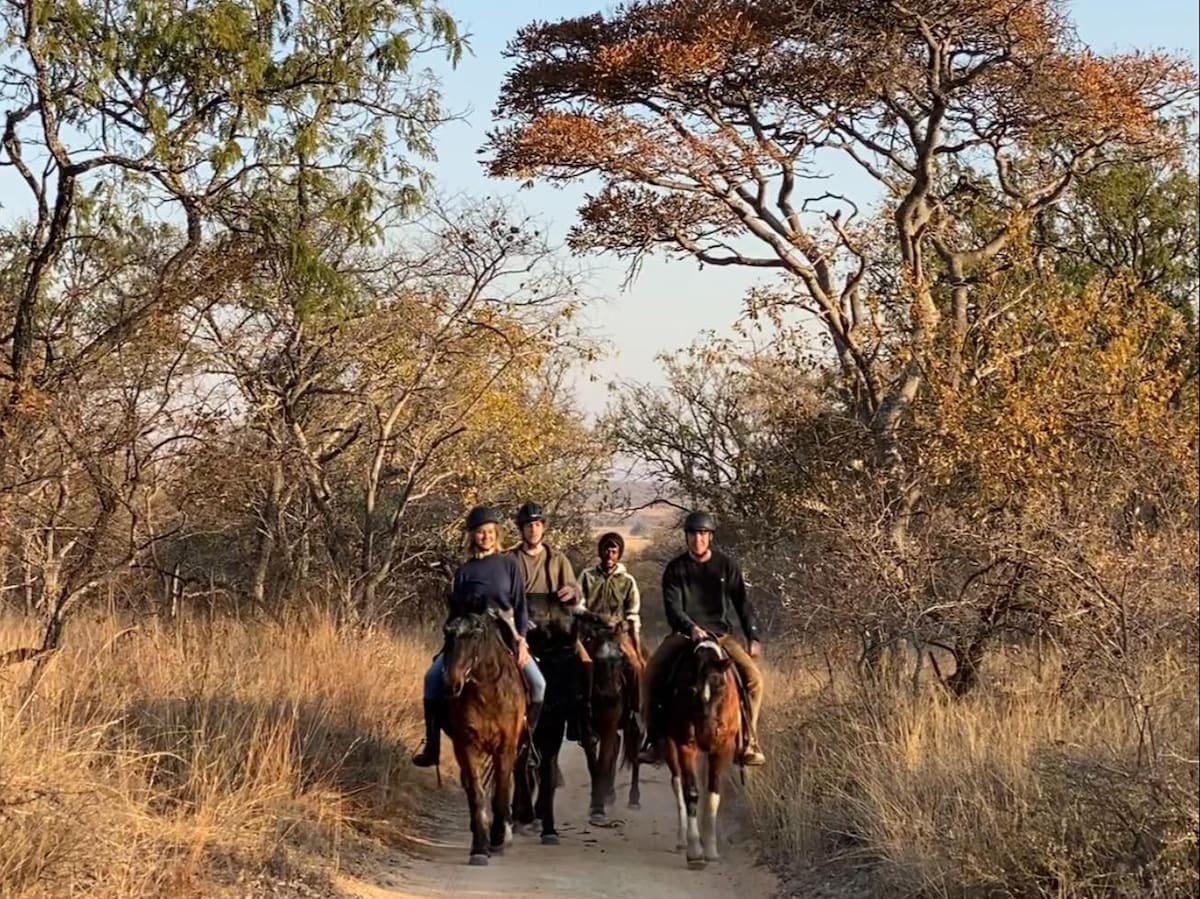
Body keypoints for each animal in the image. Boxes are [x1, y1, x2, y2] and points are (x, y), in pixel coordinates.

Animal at [441, 609, 525, 864]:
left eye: (475, 635)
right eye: (447, 634)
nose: (451, 684)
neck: (488, 693)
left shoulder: (506, 748)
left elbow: (501, 793)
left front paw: (498, 837)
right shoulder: (468, 746)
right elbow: (477, 794)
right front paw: (479, 846)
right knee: (470, 786)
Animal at [576, 607, 643, 825]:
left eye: (621, 659)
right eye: (597, 660)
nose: (611, 696)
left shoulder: (608, 726)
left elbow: (604, 759)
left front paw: (598, 808)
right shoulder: (585, 730)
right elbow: (594, 765)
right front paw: (597, 802)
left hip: (635, 726)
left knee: (634, 755)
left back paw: (634, 799)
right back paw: (609, 793)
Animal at [657, 633, 739, 864]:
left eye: (721, 688)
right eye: (691, 690)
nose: (707, 736)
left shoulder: (722, 748)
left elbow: (713, 791)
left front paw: (710, 848)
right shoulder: (686, 746)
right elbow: (691, 792)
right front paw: (695, 850)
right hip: (670, 747)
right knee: (677, 784)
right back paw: (682, 839)